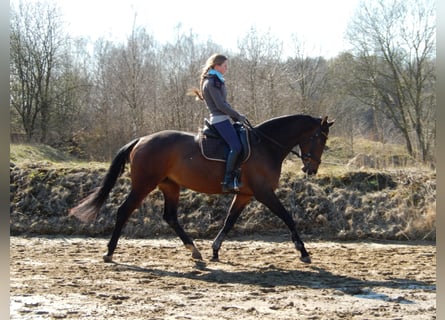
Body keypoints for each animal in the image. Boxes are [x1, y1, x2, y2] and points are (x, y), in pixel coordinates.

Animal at [69, 114, 332, 264]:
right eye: (320, 138)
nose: (311, 169)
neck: (266, 146)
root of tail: (141, 140)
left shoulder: (245, 195)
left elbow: (229, 221)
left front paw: (215, 251)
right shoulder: (264, 193)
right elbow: (288, 217)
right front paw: (303, 251)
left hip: (170, 186)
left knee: (170, 217)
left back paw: (195, 251)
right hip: (144, 184)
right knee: (124, 211)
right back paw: (109, 252)